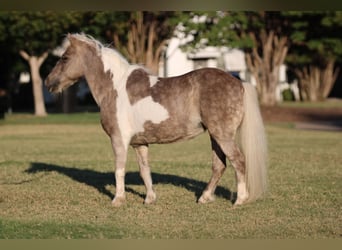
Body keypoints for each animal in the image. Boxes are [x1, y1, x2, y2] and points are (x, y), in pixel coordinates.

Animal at [45, 33, 268, 207]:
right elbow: (145, 171)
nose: (48, 81)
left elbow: (119, 169)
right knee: (219, 166)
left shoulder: (119, 139)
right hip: (215, 136)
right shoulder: (140, 143)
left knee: (238, 161)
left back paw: (240, 200)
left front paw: (118, 199)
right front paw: (149, 199)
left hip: (223, 135)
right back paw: (204, 198)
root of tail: (239, 82)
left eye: (64, 57)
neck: (114, 87)